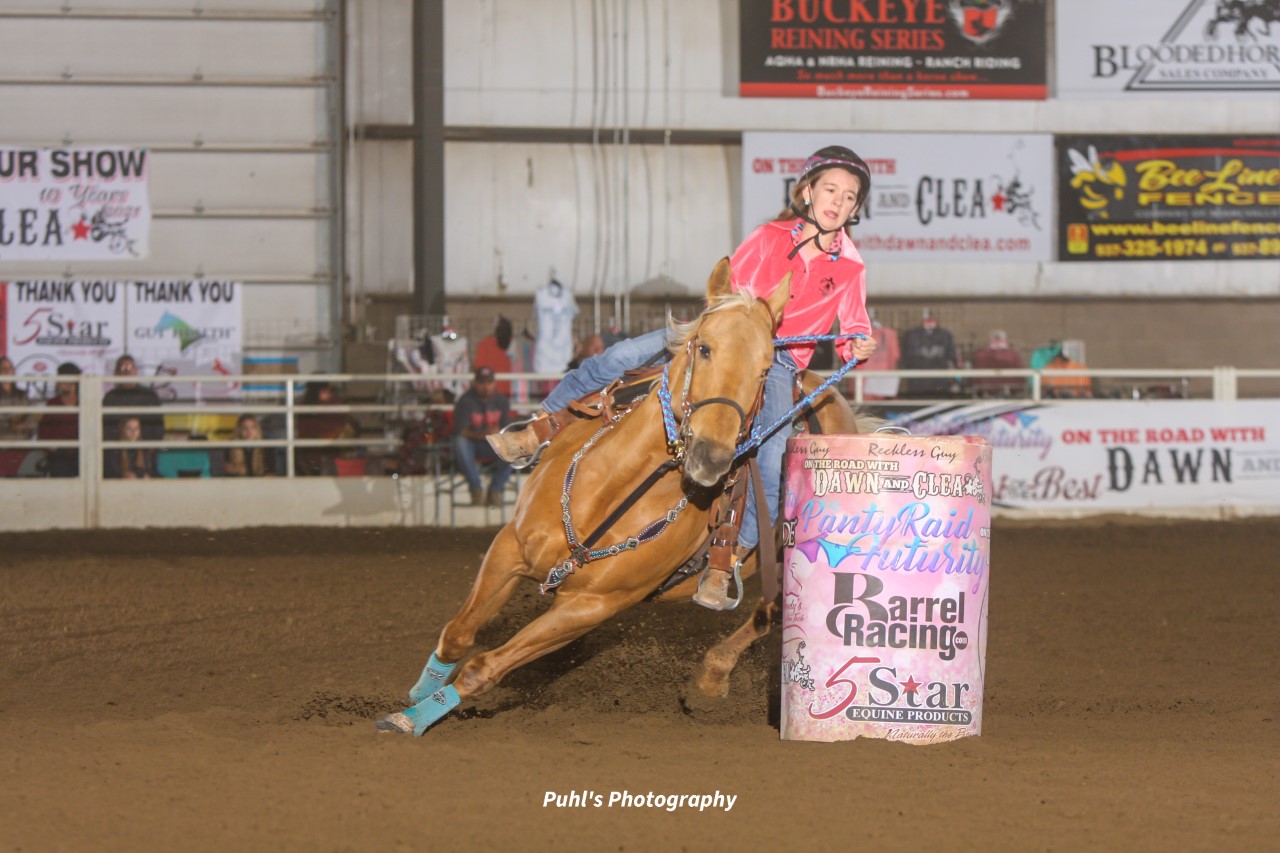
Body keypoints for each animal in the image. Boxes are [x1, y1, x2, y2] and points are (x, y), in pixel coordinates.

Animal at [378, 257, 875, 732]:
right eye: (704, 347)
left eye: (763, 370)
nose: (710, 459)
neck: (613, 490)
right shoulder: (509, 549)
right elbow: (459, 634)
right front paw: (417, 695)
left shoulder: (591, 606)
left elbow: (483, 667)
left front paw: (413, 720)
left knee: (773, 613)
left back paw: (711, 677)